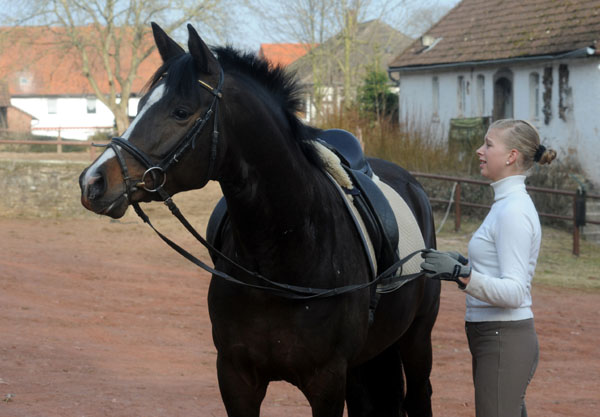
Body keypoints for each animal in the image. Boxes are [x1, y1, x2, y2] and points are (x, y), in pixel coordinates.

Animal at [77, 22, 438, 416]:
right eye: (141, 106)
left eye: (181, 111)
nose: (92, 182)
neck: (283, 258)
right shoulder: (236, 378)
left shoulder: (327, 383)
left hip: (416, 341)